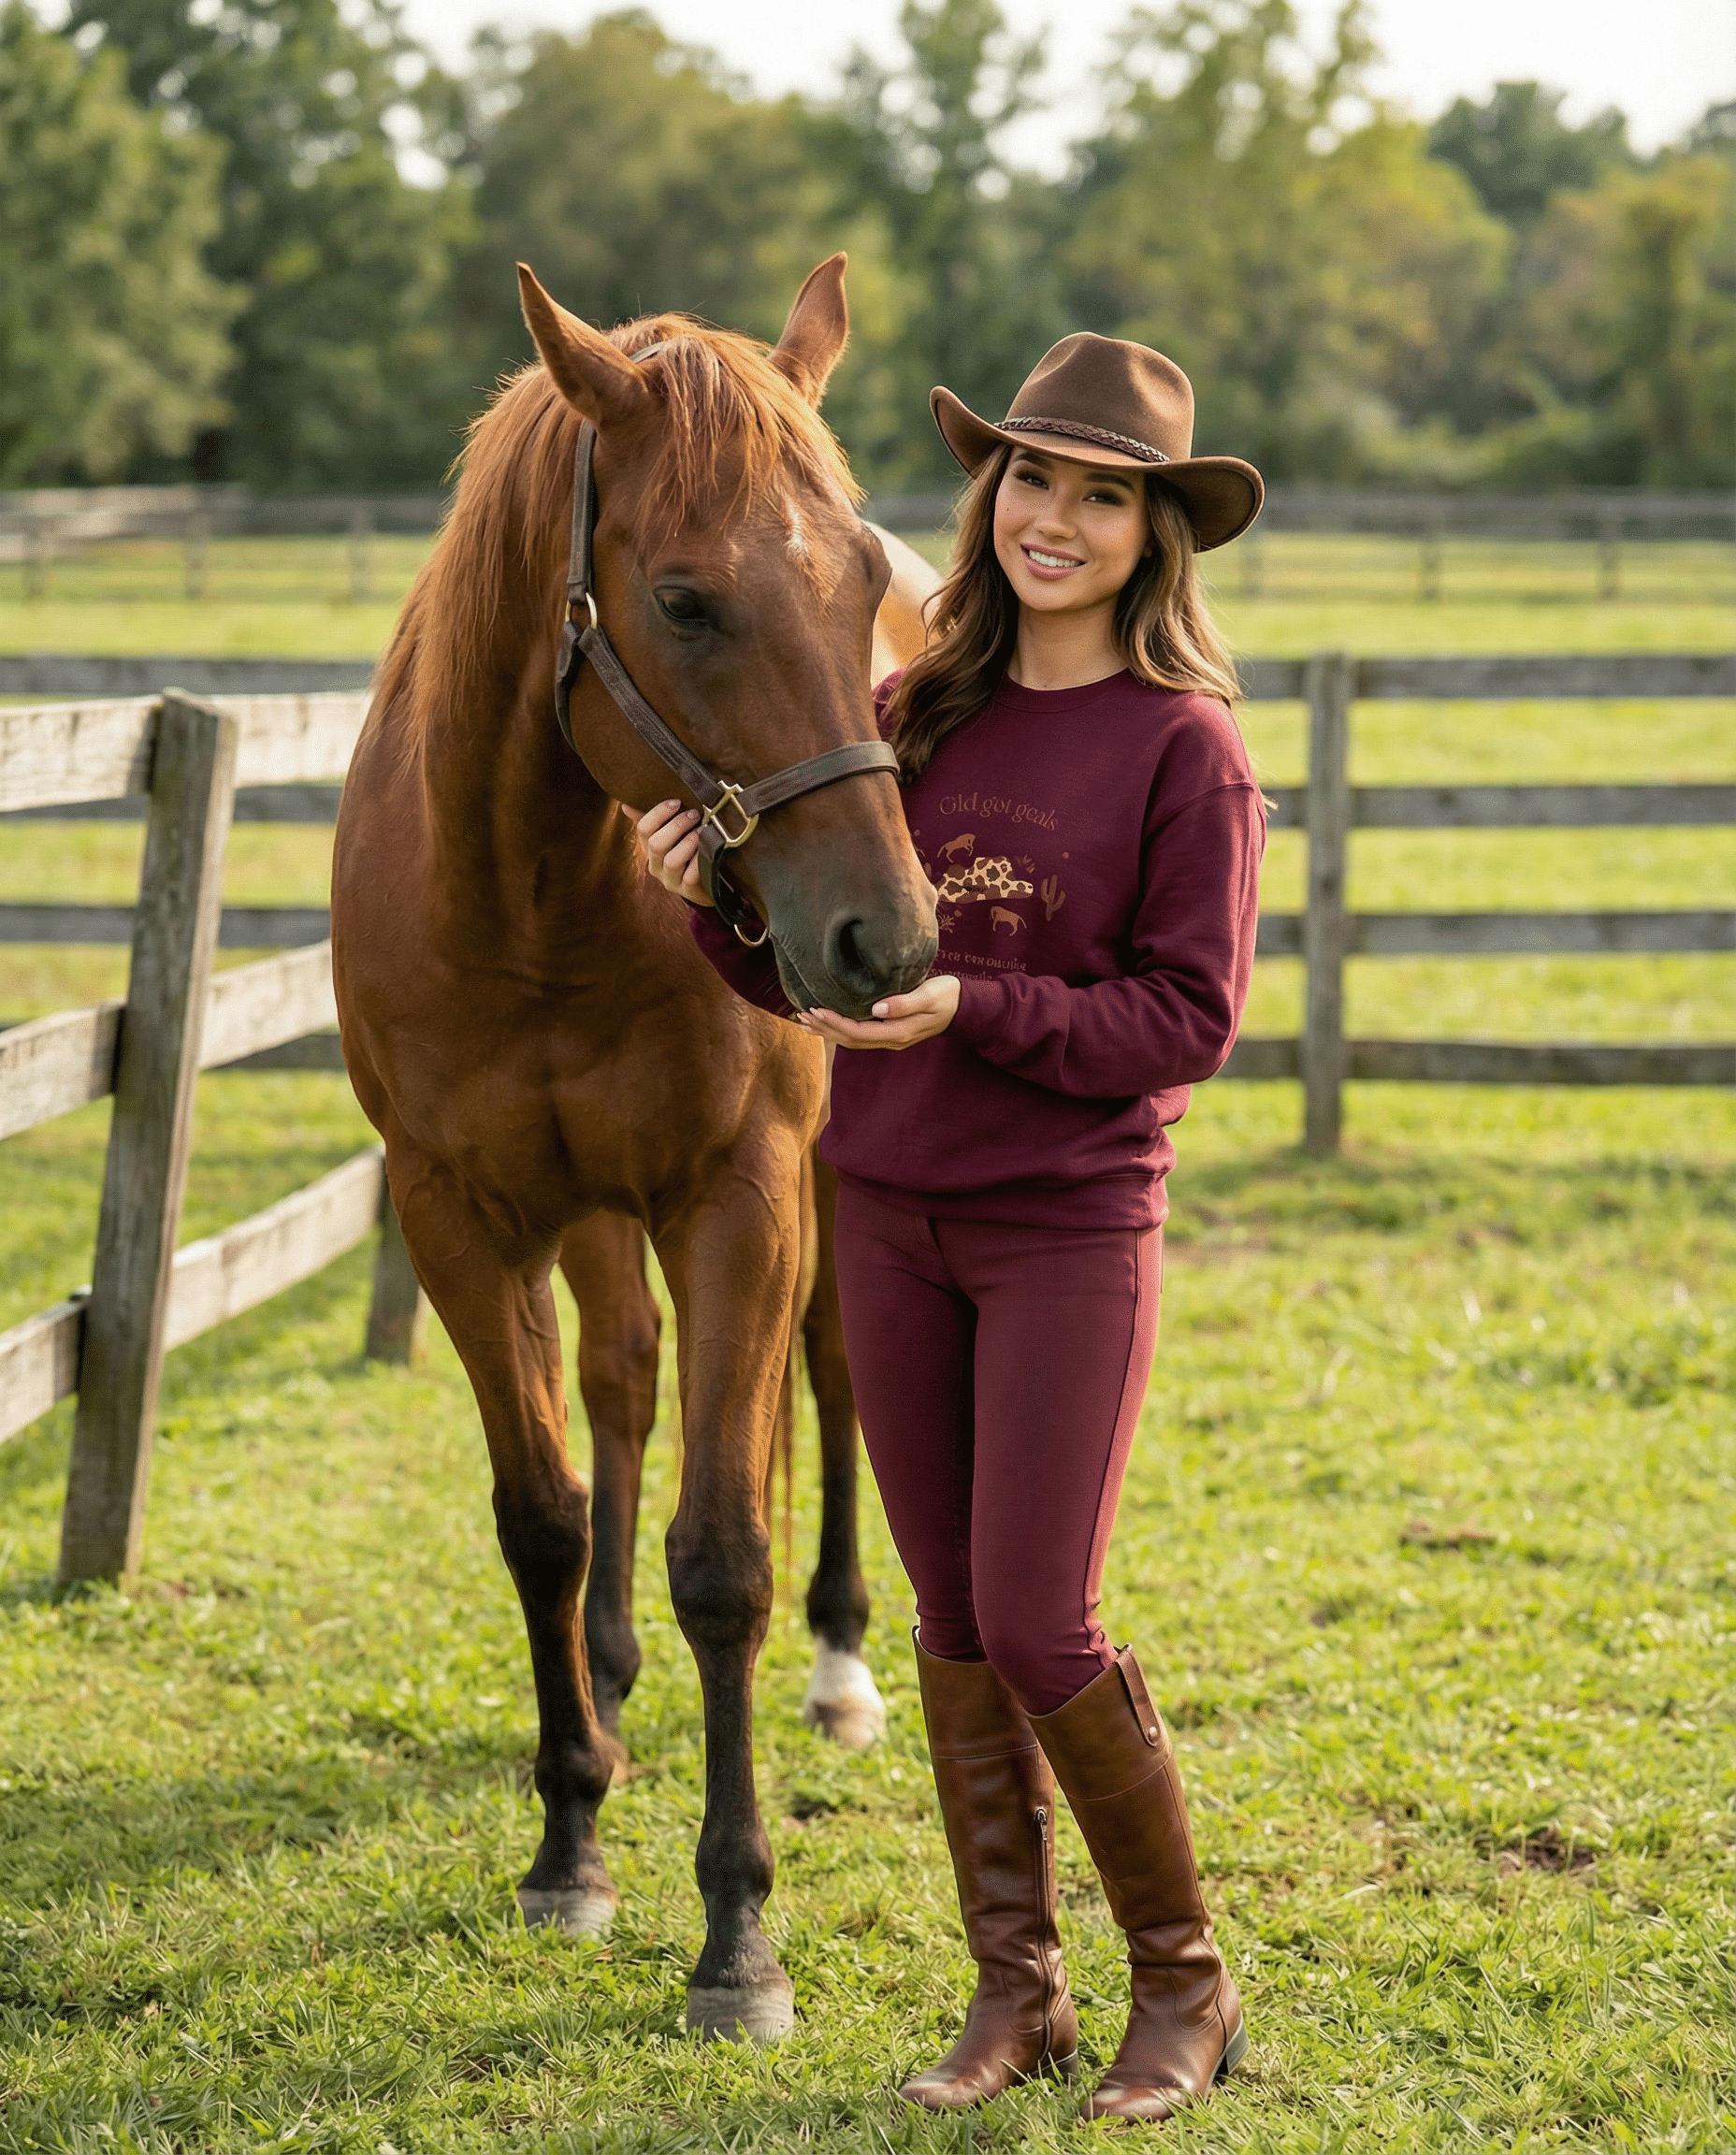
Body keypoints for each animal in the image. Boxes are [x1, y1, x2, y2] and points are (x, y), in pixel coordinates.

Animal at [331, 254, 938, 2042]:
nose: (885, 936)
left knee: (830, 1377)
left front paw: (739, 1934)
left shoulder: (738, 1196)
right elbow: (542, 1512)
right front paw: (569, 1836)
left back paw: (841, 1663)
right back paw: (601, 1676)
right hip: (588, 1215)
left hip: (812, 1190)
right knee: (618, 1379)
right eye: (682, 602)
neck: (532, 893)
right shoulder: (459, 1215)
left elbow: (721, 1554)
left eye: (857, 575)